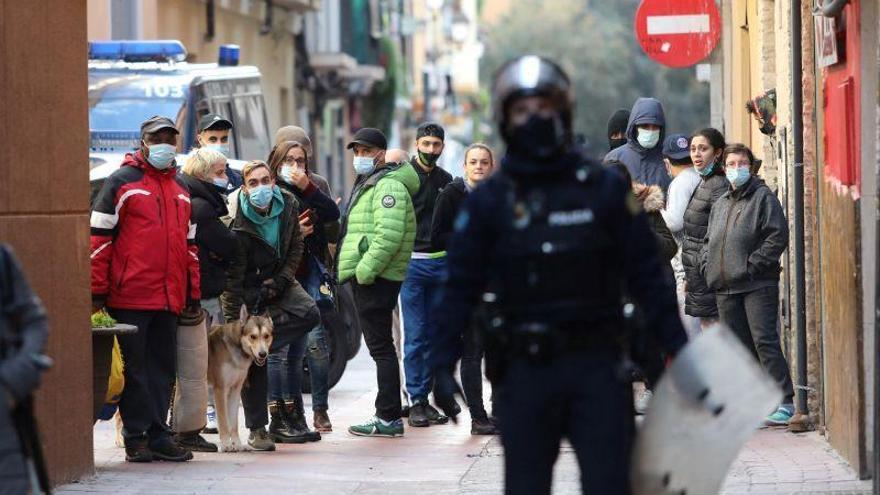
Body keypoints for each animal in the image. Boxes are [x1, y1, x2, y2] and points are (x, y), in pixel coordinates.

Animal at [208, 306, 274, 454]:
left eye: (266, 336)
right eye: (252, 336)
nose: (263, 354)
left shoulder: (235, 390)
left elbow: (233, 423)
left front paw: (237, 444)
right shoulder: (220, 390)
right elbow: (224, 421)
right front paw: (226, 444)